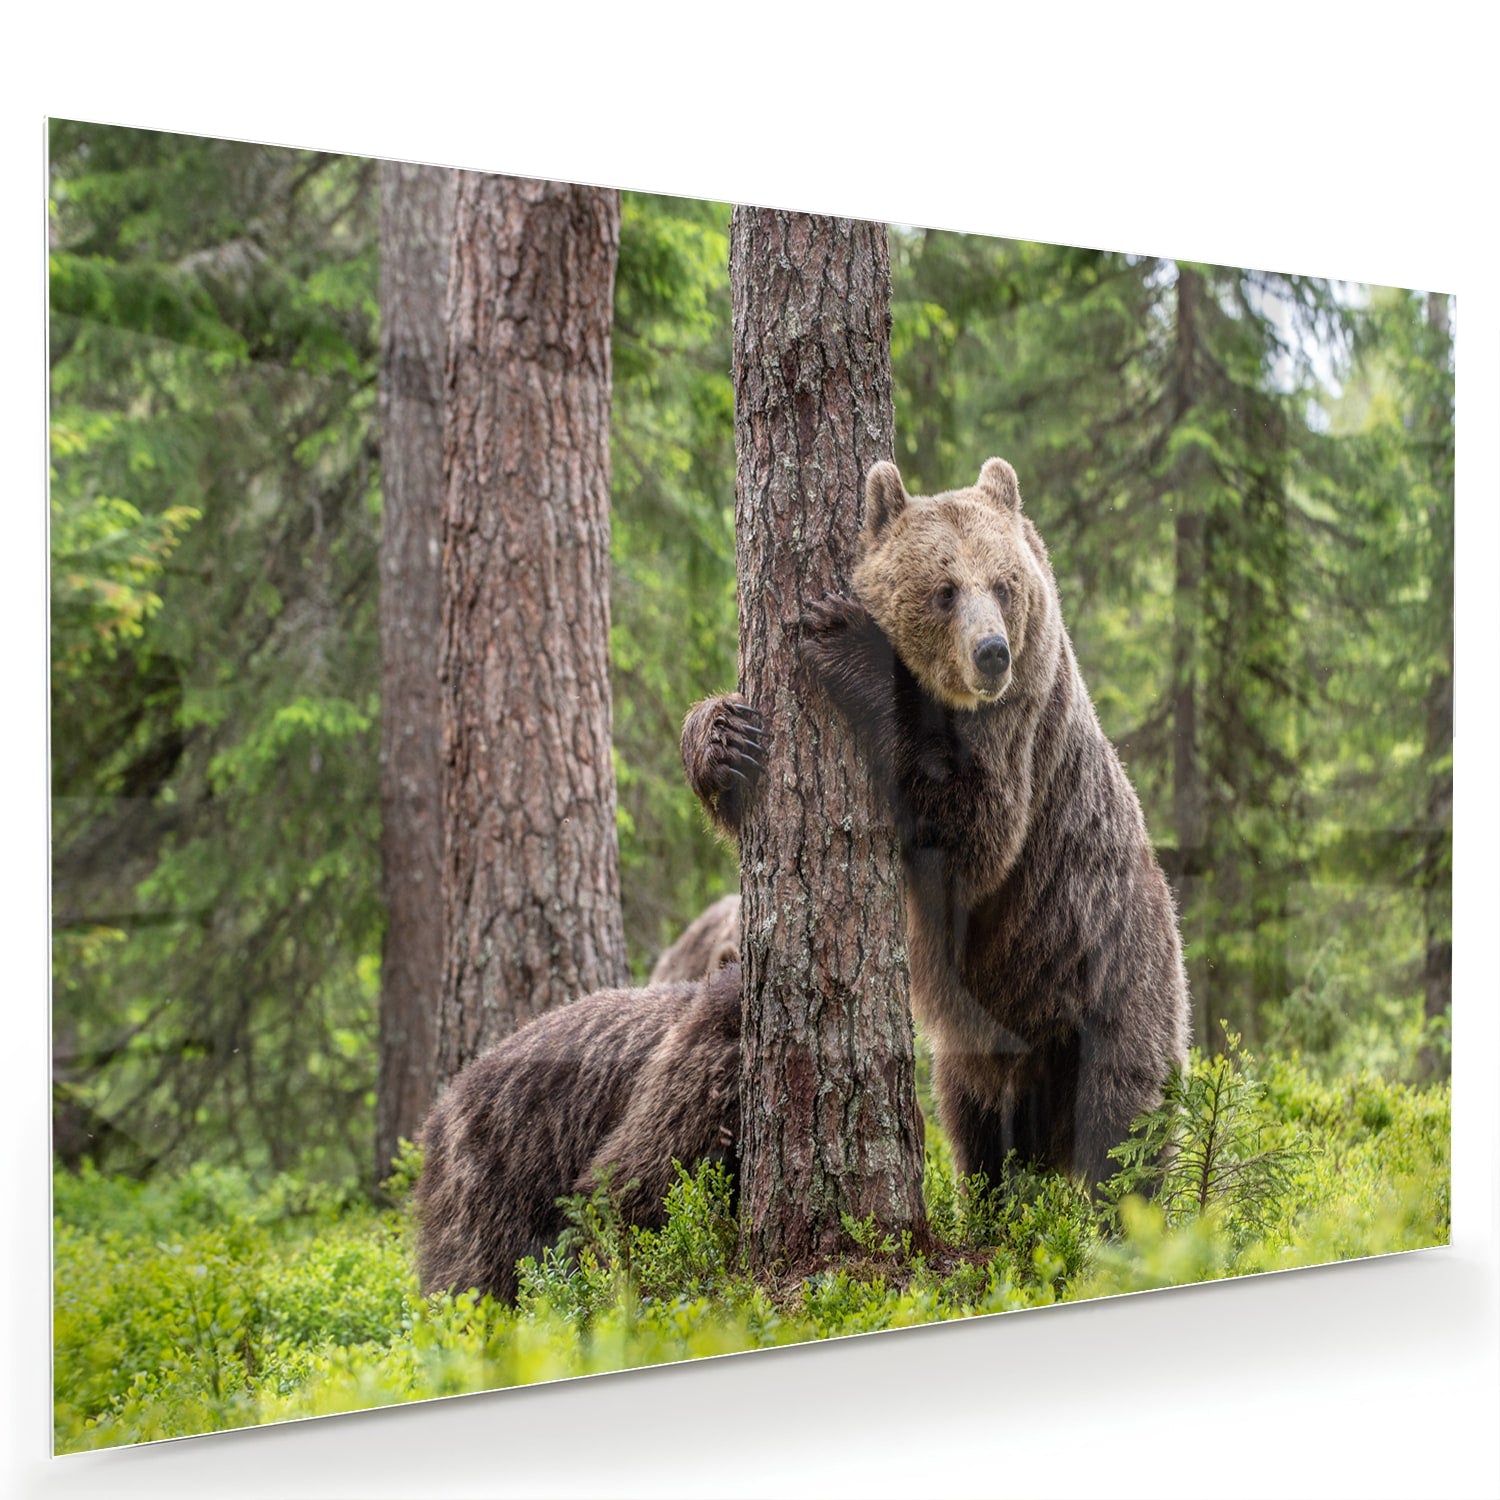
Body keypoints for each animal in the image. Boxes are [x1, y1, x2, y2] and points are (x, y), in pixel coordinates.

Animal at [681, 457, 1190, 1191]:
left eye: (1004, 585)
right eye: (945, 589)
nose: (992, 652)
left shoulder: (1018, 743)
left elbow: (970, 834)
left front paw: (844, 635)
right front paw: (727, 740)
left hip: (1116, 985)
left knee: (1124, 1132)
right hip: (983, 1049)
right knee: (981, 1132)